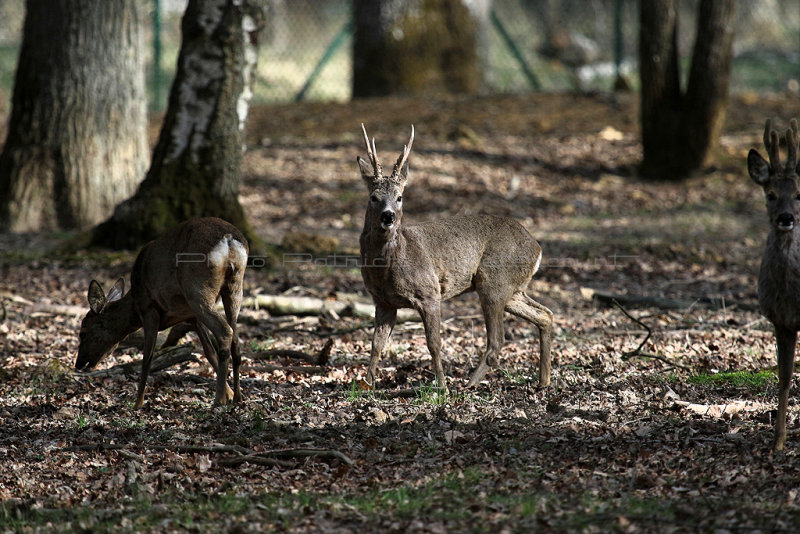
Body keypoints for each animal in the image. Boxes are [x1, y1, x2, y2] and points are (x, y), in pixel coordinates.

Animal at [77, 218, 250, 410]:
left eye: (83, 333)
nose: (78, 364)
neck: (134, 304)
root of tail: (229, 240)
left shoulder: (149, 310)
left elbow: (147, 358)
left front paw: (137, 403)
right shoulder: (191, 316)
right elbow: (208, 352)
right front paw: (230, 393)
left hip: (197, 290)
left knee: (225, 331)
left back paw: (218, 401)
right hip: (234, 287)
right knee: (235, 339)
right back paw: (238, 398)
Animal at [356, 125, 552, 394]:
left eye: (400, 197)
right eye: (373, 197)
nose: (388, 217)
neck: (387, 266)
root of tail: (537, 247)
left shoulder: (429, 293)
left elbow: (434, 343)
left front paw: (442, 386)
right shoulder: (383, 302)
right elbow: (376, 345)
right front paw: (366, 385)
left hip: (494, 282)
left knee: (497, 341)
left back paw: (468, 384)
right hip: (513, 290)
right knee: (545, 315)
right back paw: (544, 381)